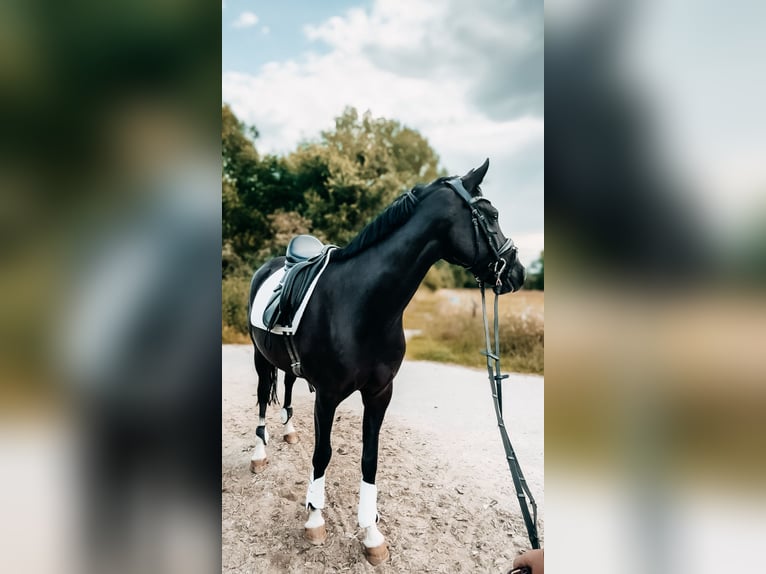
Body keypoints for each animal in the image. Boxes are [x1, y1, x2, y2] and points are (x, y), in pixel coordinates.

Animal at [249, 160, 524, 564]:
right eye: (491, 215)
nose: (518, 272)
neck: (362, 305)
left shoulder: (379, 393)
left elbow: (370, 459)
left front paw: (371, 534)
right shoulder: (327, 396)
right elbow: (322, 454)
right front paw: (315, 518)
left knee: (285, 387)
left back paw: (288, 431)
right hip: (260, 359)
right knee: (261, 402)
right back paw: (259, 453)